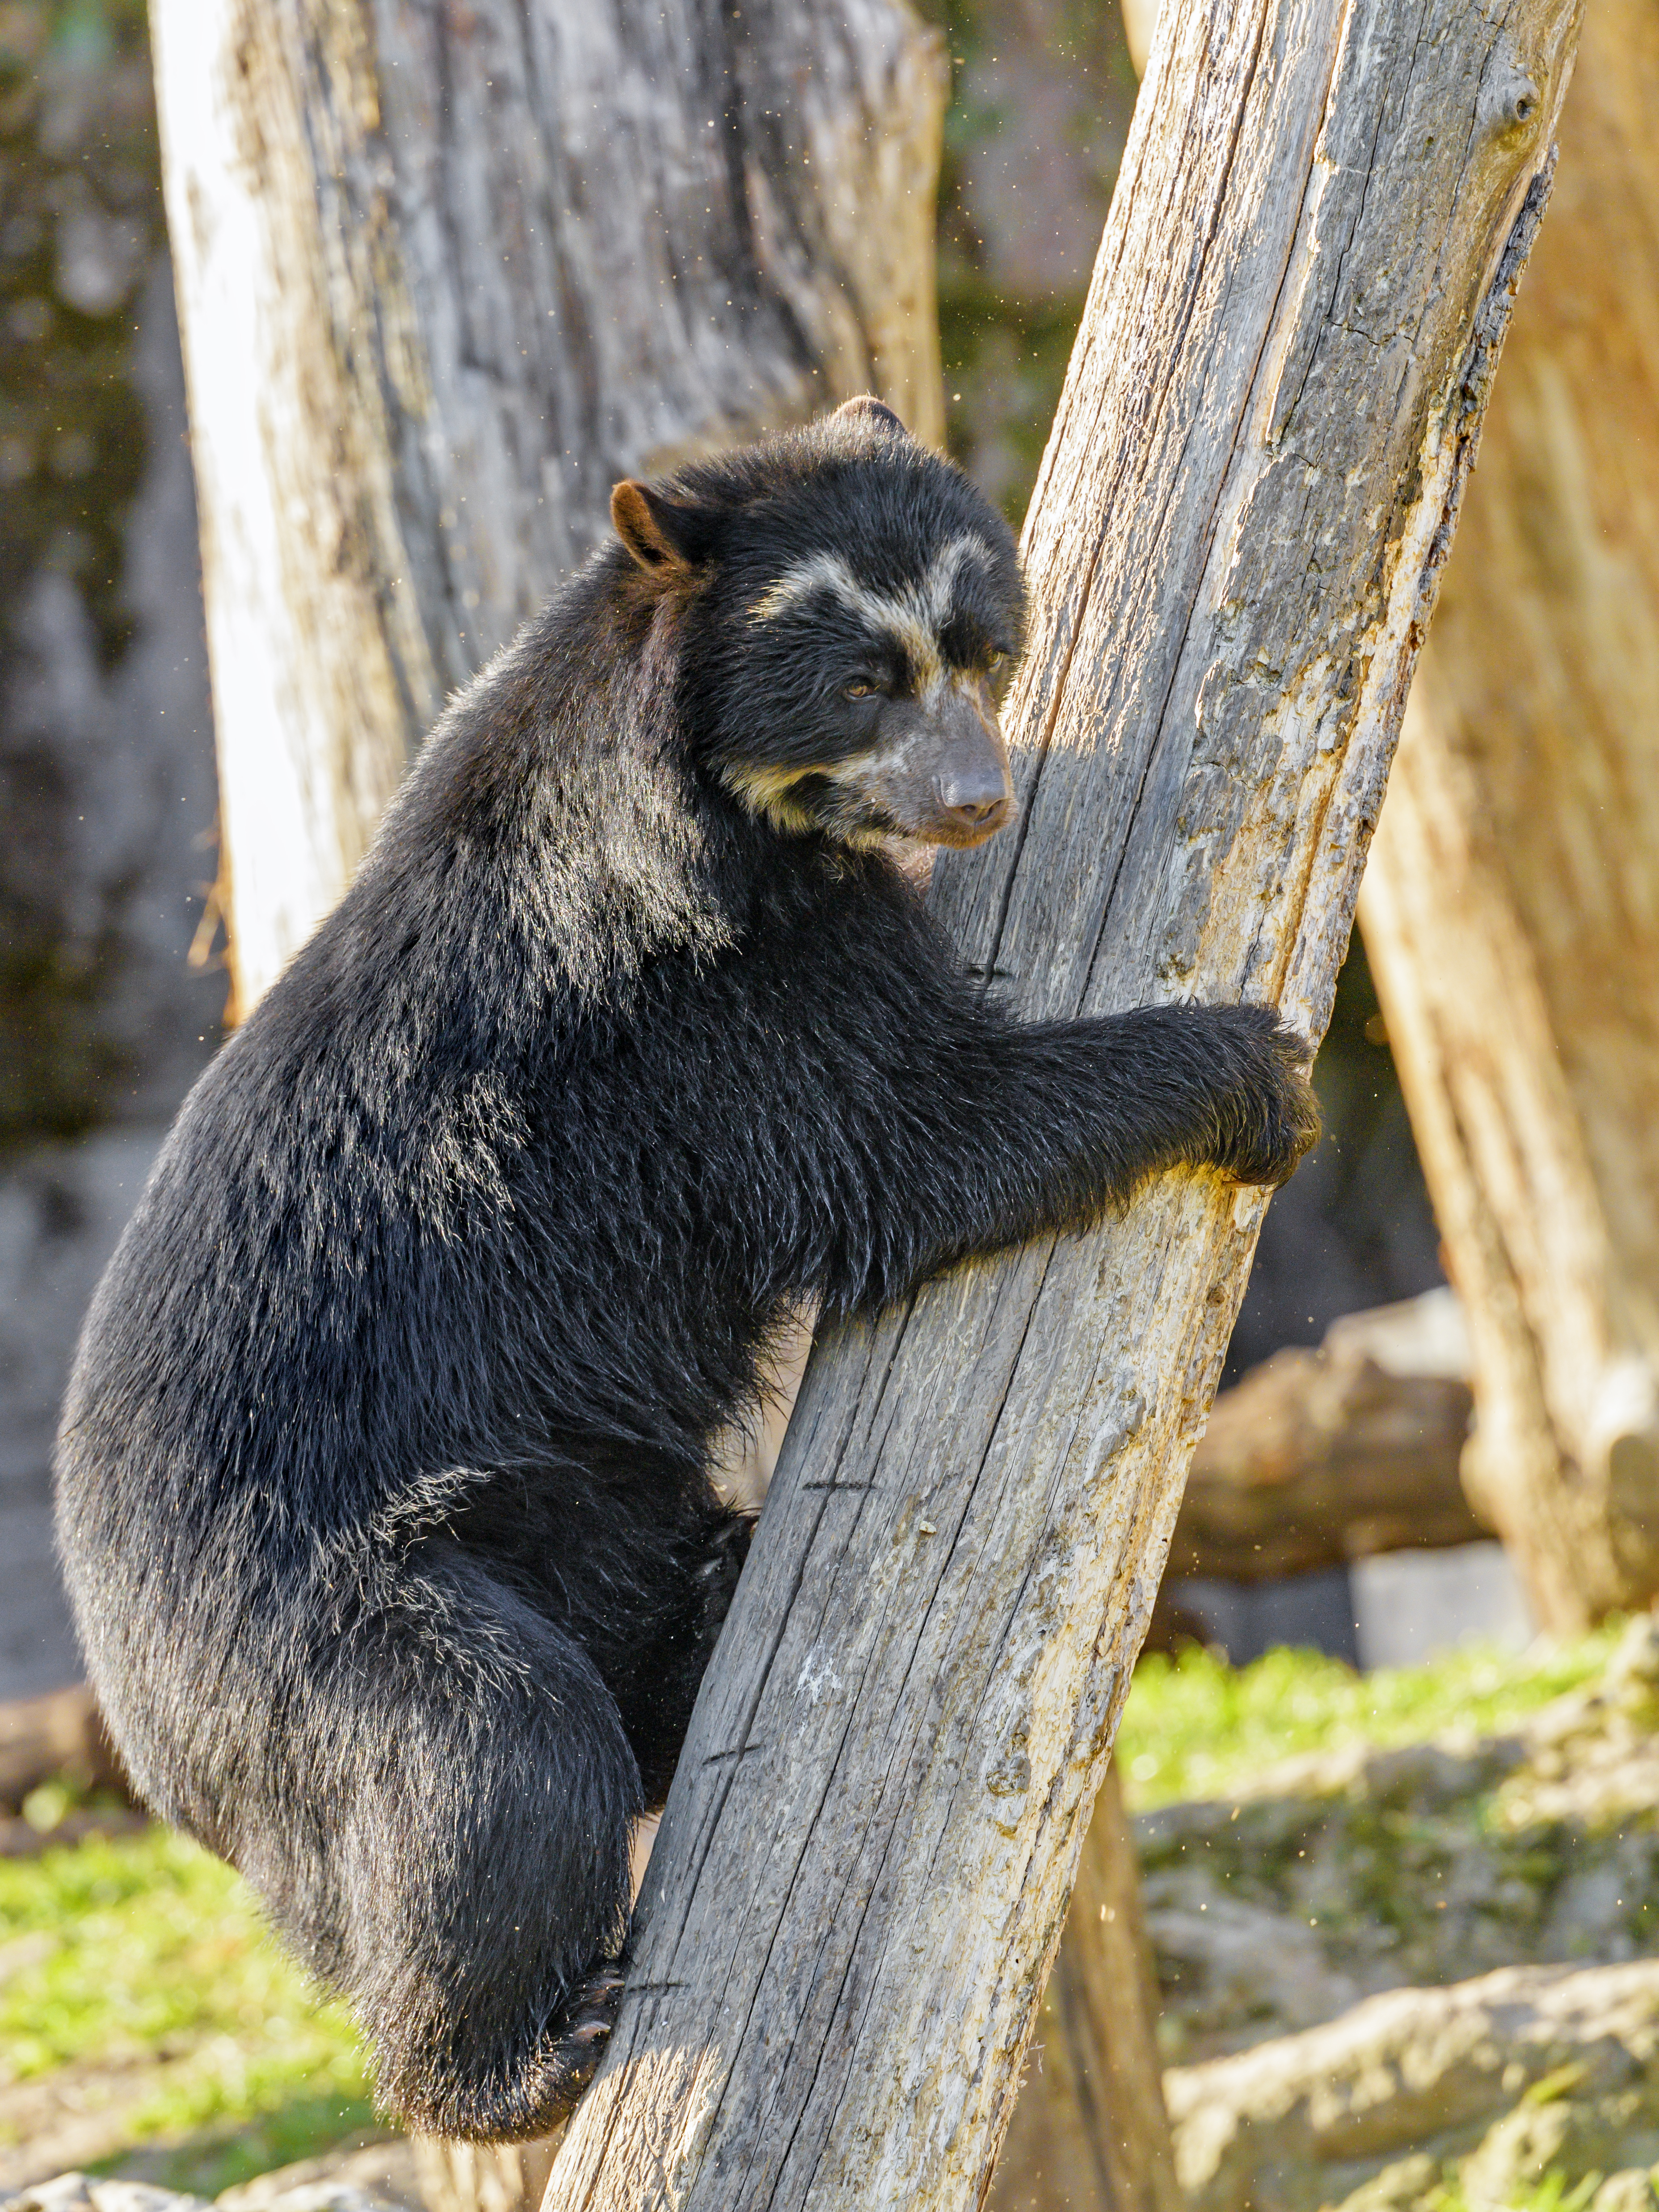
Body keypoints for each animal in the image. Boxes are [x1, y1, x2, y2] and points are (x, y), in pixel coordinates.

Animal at [55, 398, 1327, 2141]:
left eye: (980, 647)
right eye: (859, 681)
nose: (977, 802)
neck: (713, 806)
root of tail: (147, 1735)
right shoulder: (702, 1002)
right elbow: (917, 1135)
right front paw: (1256, 1070)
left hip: (579, 1502)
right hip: (321, 1624)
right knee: (492, 1752)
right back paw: (521, 2056)